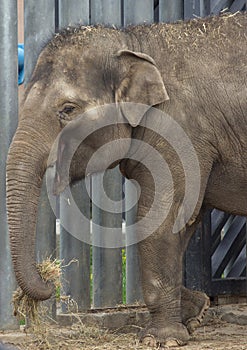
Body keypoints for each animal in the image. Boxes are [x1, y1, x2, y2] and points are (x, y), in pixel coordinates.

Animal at [6, 13, 247, 348]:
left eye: (67, 109)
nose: (50, 282)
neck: (132, 42)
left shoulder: (178, 127)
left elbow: (160, 213)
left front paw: (161, 339)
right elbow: (186, 216)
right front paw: (195, 312)